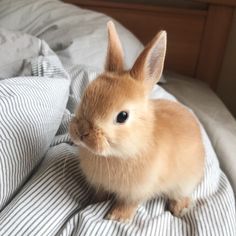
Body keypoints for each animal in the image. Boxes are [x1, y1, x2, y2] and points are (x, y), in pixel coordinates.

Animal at [68, 21, 205, 222]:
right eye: (85, 95)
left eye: (122, 116)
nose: (81, 132)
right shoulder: (100, 184)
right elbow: (100, 194)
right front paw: (92, 201)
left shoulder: (138, 191)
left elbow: (129, 204)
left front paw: (117, 217)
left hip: (185, 182)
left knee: (180, 194)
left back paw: (180, 209)